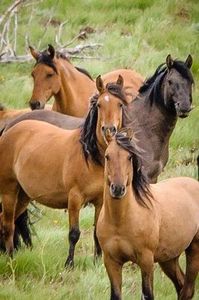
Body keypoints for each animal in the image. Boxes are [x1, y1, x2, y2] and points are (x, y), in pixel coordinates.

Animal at [0, 75, 127, 268]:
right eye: (99, 105)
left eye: (120, 104)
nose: (109, 130)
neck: (91, 157)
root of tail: (8, 130)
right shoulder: (74, 198)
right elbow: (74, 233)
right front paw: (69, 263)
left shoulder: (100, 201)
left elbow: (97, 231)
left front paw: (97, 261)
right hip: (9, 191)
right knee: (8, 224)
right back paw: (10, 257)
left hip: (23, 195)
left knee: (9, 220)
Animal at [97, 131, 199, 300]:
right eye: (107, 156)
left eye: (129, 157)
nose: (117, 189)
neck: (120, 221)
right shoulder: (111, 262)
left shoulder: (146, 260)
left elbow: (147, 294)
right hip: (169, 258)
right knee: (181, 286)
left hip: (194, 250)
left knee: (187, 290)